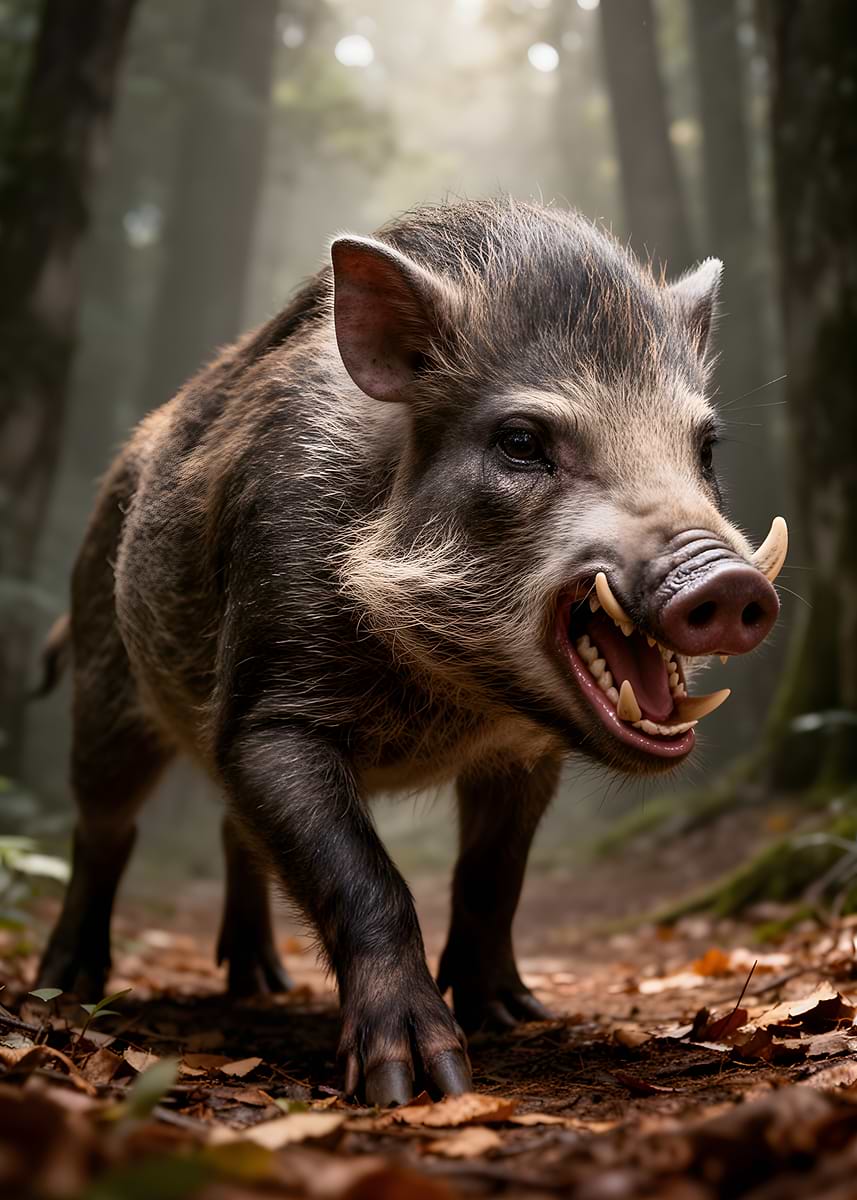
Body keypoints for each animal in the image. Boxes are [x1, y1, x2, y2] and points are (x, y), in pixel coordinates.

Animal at [36, 198, 787, 1106]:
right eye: (520, 442)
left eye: (703, 449)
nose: (729, 582)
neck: (452, 697)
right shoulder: (269, 713)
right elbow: (369, 878)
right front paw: (419, 1083)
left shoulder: (523, 754)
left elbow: (493, 876)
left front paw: (513, 1016)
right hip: (105, 688)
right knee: (103, 829)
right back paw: (66, 983)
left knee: (229, 829)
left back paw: (260, 986)